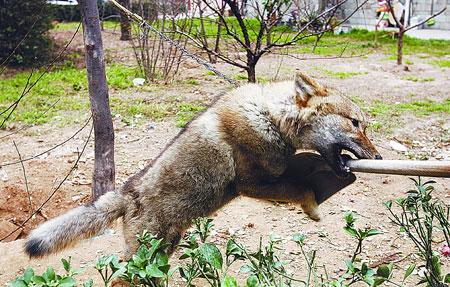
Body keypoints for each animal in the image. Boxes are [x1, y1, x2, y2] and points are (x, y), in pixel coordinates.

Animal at [24, 72, 382, 258]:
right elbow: (300, 187)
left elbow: (302, 176)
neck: (270, 118)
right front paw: (313, 208)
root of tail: (126, 194)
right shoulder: (251, 184)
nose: (378, 158)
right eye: (355, 124)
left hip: (164, 253)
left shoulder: (275, 172)